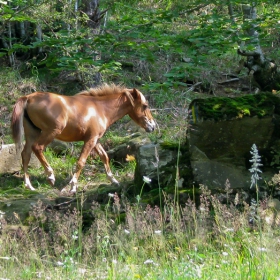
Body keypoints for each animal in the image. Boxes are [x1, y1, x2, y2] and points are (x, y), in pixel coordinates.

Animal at [10, 83, 155, 192]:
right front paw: (73, 186)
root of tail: (28, 97)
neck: (100, 109)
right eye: (145, 106)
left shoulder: (96, 140)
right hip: (50, 132)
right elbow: (81, 162)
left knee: (25, 154)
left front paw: (114, 180)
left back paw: (29, 185)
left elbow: (104, 157)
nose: (153, 126)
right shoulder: (90, 140)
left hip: (32, 133)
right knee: (37, 148)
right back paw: (50, 176)